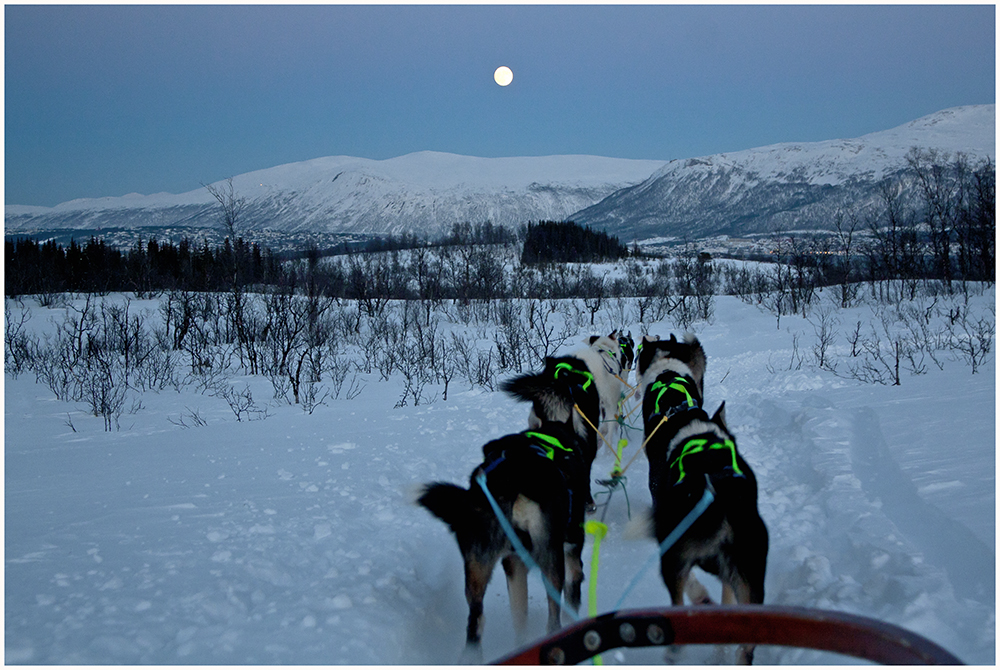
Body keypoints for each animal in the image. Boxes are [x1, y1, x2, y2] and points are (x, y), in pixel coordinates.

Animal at [416, 422, 588, 660]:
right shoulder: (571, 550)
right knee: (553, 620)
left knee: (476, 622)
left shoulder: (513, 564)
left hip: (478, 566)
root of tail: (511, 476)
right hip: (551, 559)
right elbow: (574, 586)